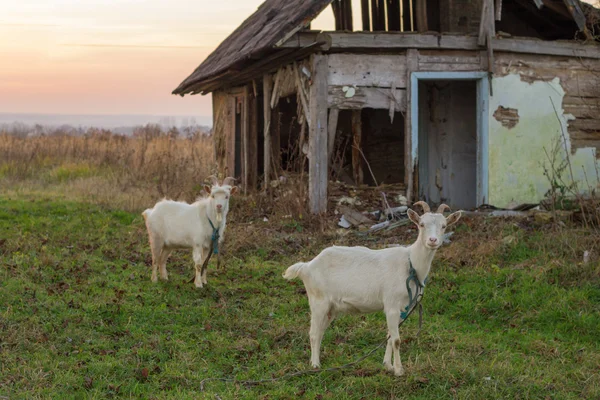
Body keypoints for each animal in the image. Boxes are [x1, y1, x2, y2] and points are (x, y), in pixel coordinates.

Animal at [284, 202, 462, 376]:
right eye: (421, 224)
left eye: (444, 226)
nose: (432, 240)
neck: (410, 263)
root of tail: (307, 266)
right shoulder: (391, 304)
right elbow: (396, 340)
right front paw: (399, 370)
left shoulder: (402, 308)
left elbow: (390, 337)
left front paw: (388, 366)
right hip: (318, 301)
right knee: (314, 333)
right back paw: (315, 365)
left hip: (331, 308)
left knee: (320, 332)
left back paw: (316, 361)